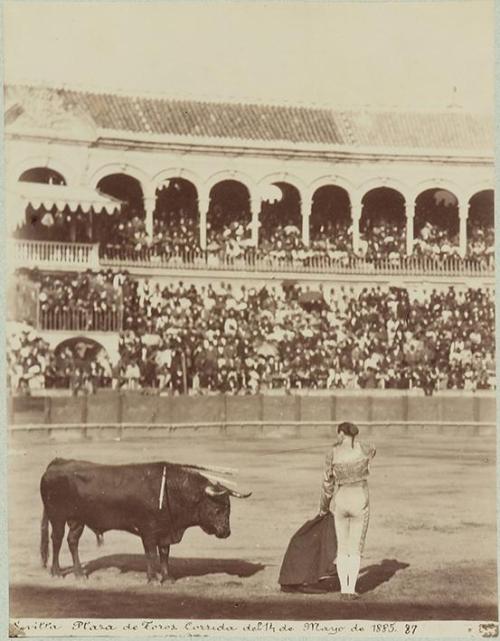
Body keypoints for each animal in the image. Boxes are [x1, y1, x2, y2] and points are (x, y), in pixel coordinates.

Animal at [39, 456, 250, 584]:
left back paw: (79, 574)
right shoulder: (148, 531)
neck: (172, 491)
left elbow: (164, 554)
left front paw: (167, 578)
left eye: (229, 508)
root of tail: (57, 463)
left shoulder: (165, 532)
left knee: (72, 541)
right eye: (217, 508)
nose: (226, 532)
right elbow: (151, 554)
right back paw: (56, 572)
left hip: (77, 520)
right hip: (57, 517)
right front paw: (153, 579)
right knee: (56, 540)